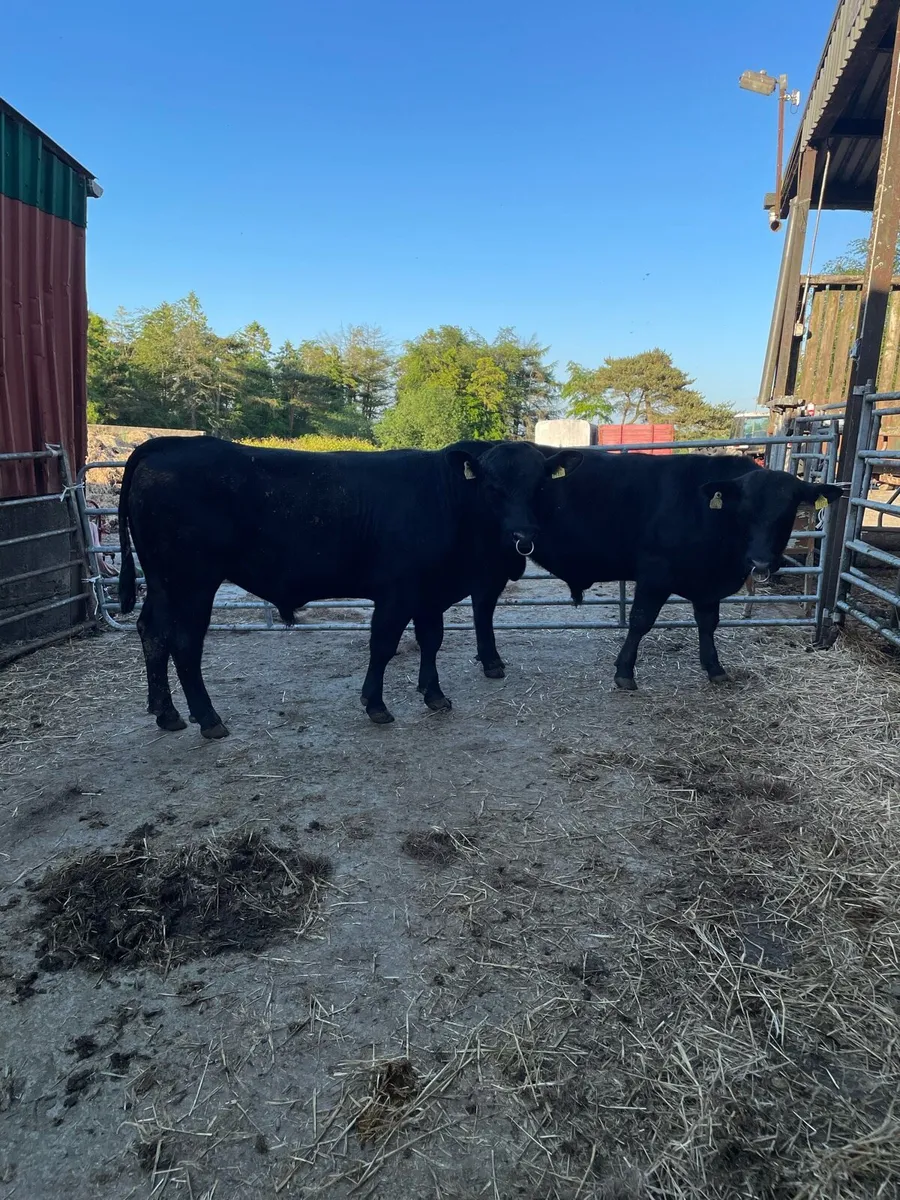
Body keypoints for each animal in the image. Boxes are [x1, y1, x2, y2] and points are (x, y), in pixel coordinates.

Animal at [117, 436, 582, 738]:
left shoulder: (429, 592)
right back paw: (208, 719)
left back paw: (166, 713)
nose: (523, 536)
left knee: (152, 633)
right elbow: (383, 646)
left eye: (540, 484)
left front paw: (434, 694)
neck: (447, 500)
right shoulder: (397, 591)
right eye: (492, 486)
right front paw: (376, 705)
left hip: (162, 582)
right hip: (192, 583)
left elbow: (431, 641)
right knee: (184, 643)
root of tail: (167, 444)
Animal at [467, 450, 843, 690]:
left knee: (483, 605)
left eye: (788, 511)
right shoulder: (655, 574)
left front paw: (715, 668)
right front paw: (624, 672)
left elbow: (708, 623)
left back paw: (491, 661)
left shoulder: (706, 585)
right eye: (744, 509)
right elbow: (640, 621)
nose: (761, 562)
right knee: (481, 604)